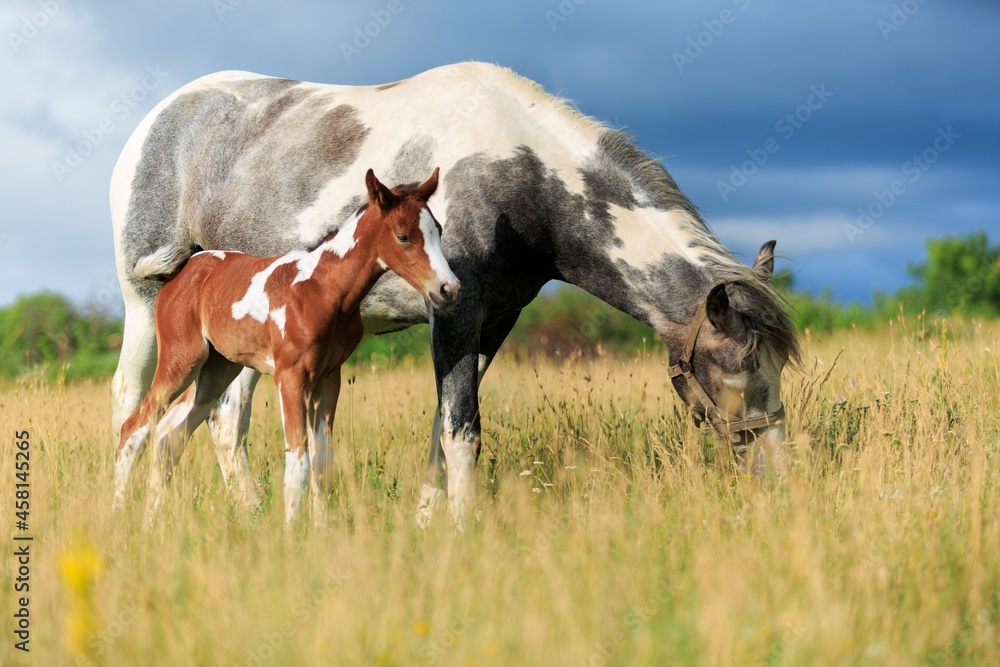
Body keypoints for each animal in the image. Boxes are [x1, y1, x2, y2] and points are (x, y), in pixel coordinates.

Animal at [113, 168, 458, 528]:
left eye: (438, 230)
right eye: (404, 236)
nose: (449, 289)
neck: (323, 288)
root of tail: (178, 274)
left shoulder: (328, 377)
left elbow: (322, 461)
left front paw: (321, 529)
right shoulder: (290, 376)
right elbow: (298, 460)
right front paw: (291, 532)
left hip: (217, 370)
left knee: (168, 436)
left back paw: (151, 521)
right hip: (181, 360)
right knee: (133, 429)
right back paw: (119, 516)